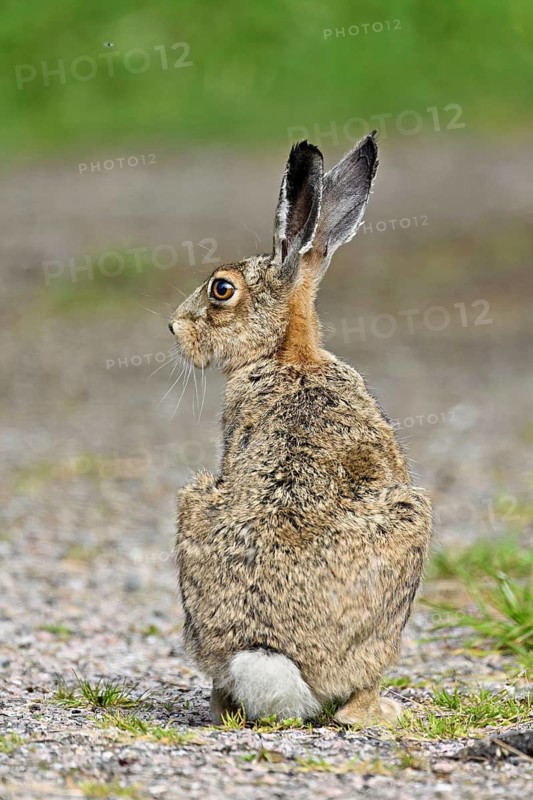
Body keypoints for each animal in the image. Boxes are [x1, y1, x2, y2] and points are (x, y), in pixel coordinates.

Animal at [169, 132, 432, 726]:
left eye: (221, 290)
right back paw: (389, 712)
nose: (174, 327)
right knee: (355, 704)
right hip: (410, 534)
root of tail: (267, 652)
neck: (287, 353)